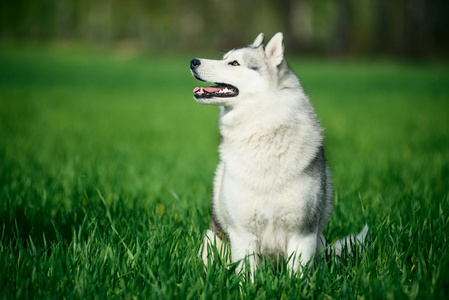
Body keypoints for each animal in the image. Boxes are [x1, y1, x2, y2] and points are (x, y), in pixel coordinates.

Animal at [191, 32, 366, 276]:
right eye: (225, 58)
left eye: (234, 63)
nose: (193, 62)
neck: (262, 133)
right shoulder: (243, 234)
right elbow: (247, 274)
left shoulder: (303, 233)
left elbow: (297, 275)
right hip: (211, 242)